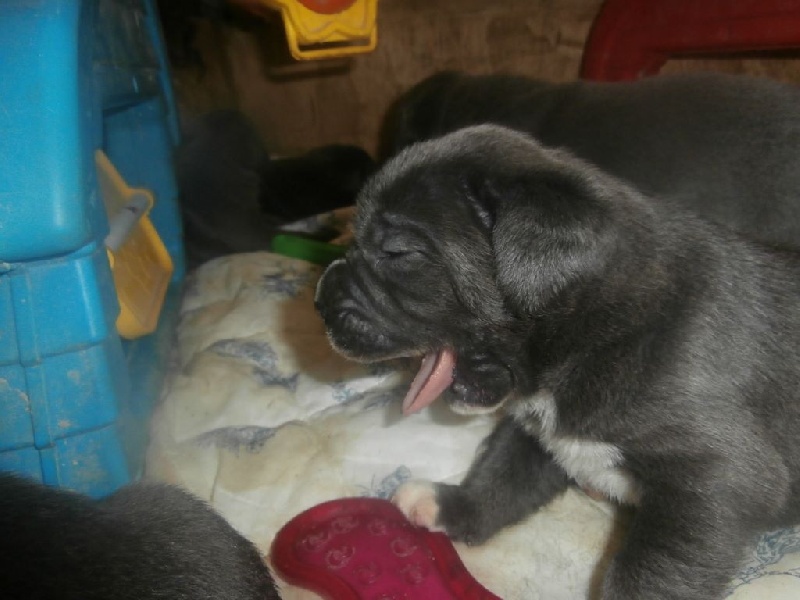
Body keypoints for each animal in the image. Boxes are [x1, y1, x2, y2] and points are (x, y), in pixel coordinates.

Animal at [315, 125, 800, 599]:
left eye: (398, 252)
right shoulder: (536, 432)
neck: (589, 326)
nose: (318, 301)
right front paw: (454, 508)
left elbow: (652, 573)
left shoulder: (712, 478)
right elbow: (503, 474)